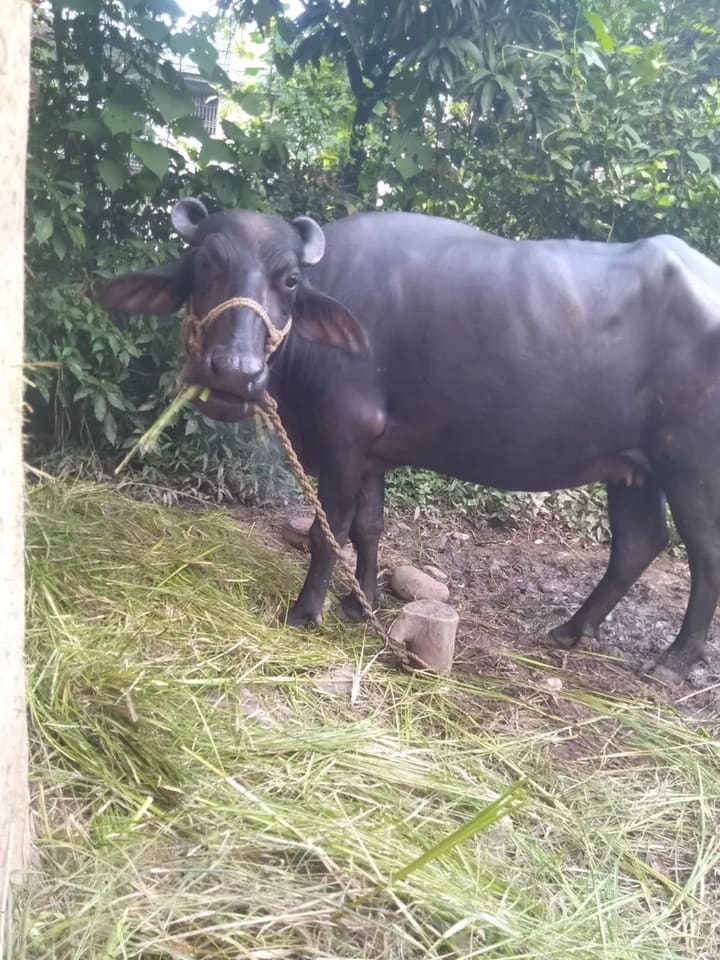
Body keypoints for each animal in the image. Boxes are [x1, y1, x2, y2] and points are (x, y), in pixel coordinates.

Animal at [98, 198, 720, 684]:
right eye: (204, 263)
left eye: (290, 279)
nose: (233, 373)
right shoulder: (372, 453)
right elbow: (369, 527)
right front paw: (360, 603)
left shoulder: (343, 439)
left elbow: (330, 529)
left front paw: (305, 611)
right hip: (632, 467)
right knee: (638, 542)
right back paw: (571, 629)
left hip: (690, 466)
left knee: (704, 552)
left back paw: (673, 662)